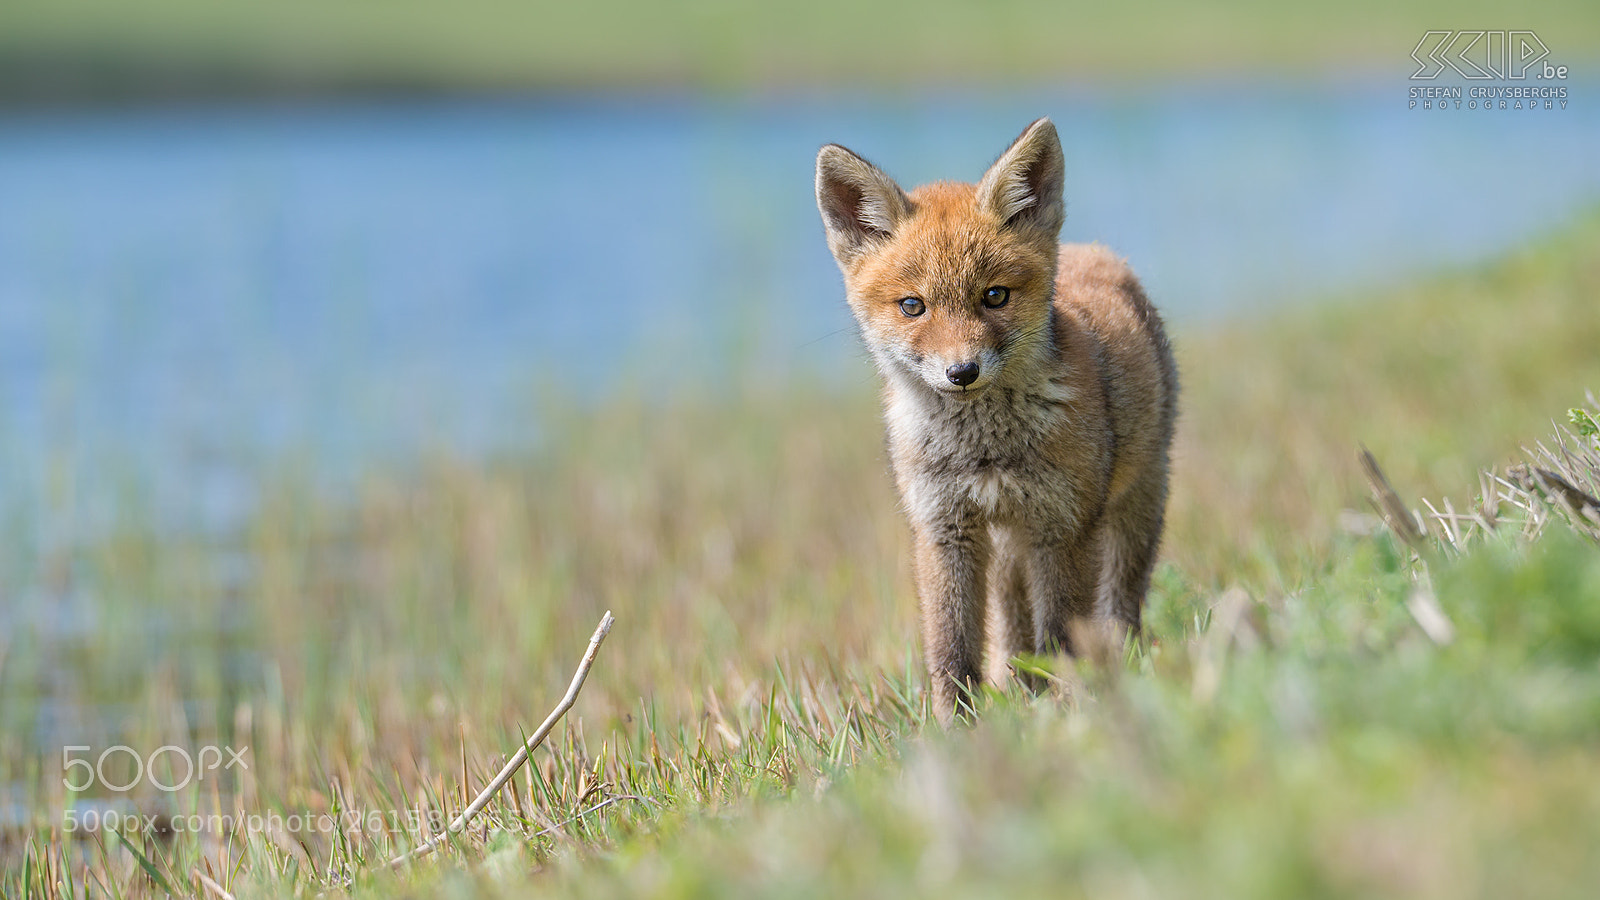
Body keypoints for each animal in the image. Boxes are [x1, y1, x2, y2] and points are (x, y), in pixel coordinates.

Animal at [815, 118, 1178, 723]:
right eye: (913, 306)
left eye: (994, 296)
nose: (961, 371)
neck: (984, 452)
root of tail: (1093, 251)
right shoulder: (945, 529)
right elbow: (952, 649)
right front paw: (958, 729)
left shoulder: (1064, 527)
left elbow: (1062, 638)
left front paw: (1069, 714)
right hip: (1009, 549)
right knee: (1011, 633)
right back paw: (1020, 688)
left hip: (1134, 507)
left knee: (1117, 608)